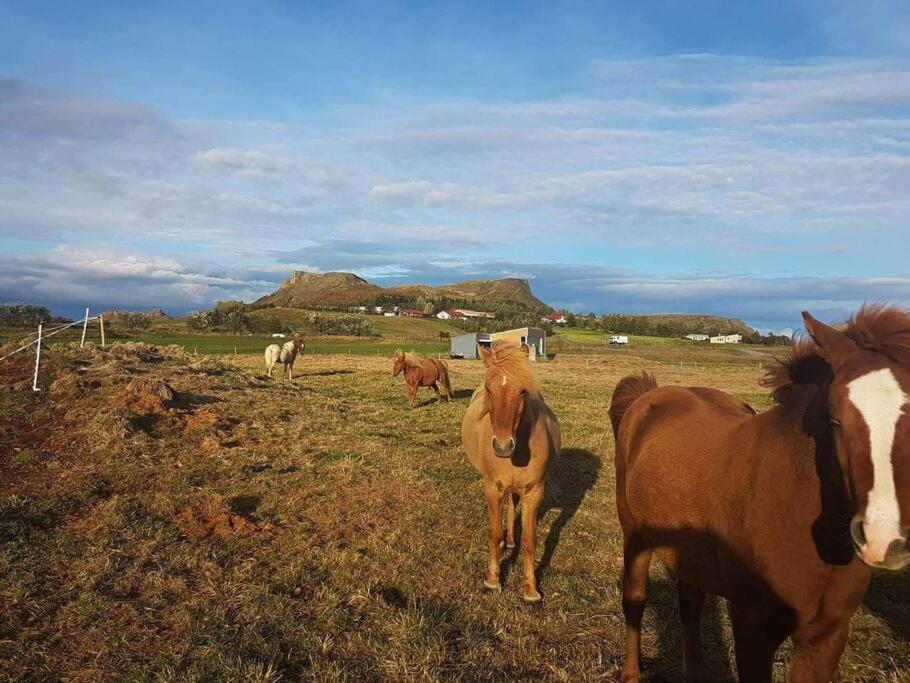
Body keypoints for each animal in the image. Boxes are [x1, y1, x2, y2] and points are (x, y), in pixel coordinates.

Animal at [464, 342, 564, 604]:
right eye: (489, 388)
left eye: (522, 391)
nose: (502, 447)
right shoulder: (491, 488)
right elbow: (493, 532)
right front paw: (492, 580)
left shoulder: (534, 492)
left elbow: (530, 540)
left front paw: (531, 589)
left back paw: (510, 541)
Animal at [608, 306, 910, 683]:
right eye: (835, 420)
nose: (884, 540)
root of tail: (648, 394)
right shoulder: (753, 632)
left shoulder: (827, 635)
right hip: (635, 536)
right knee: (635, 601)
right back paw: (631, 672)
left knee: (690, 606)